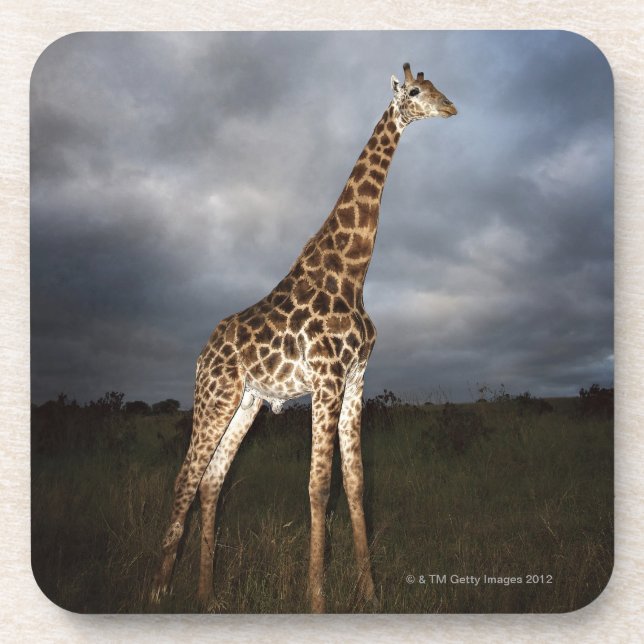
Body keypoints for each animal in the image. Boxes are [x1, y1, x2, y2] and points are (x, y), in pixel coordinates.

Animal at [151, 62, 457, 613]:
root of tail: (202, 355)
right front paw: (316, 597)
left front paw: (370, 591)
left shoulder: (356, 378)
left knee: (212, 480)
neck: (352, 272)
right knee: (185, 478)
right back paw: (159, 590)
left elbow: (355, 482)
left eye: (437, 86)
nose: (451, 107)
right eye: (415, 91)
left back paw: (207, 594)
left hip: (246, 401)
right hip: (215, 395)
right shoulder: (326, 379)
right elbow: (318, 485)